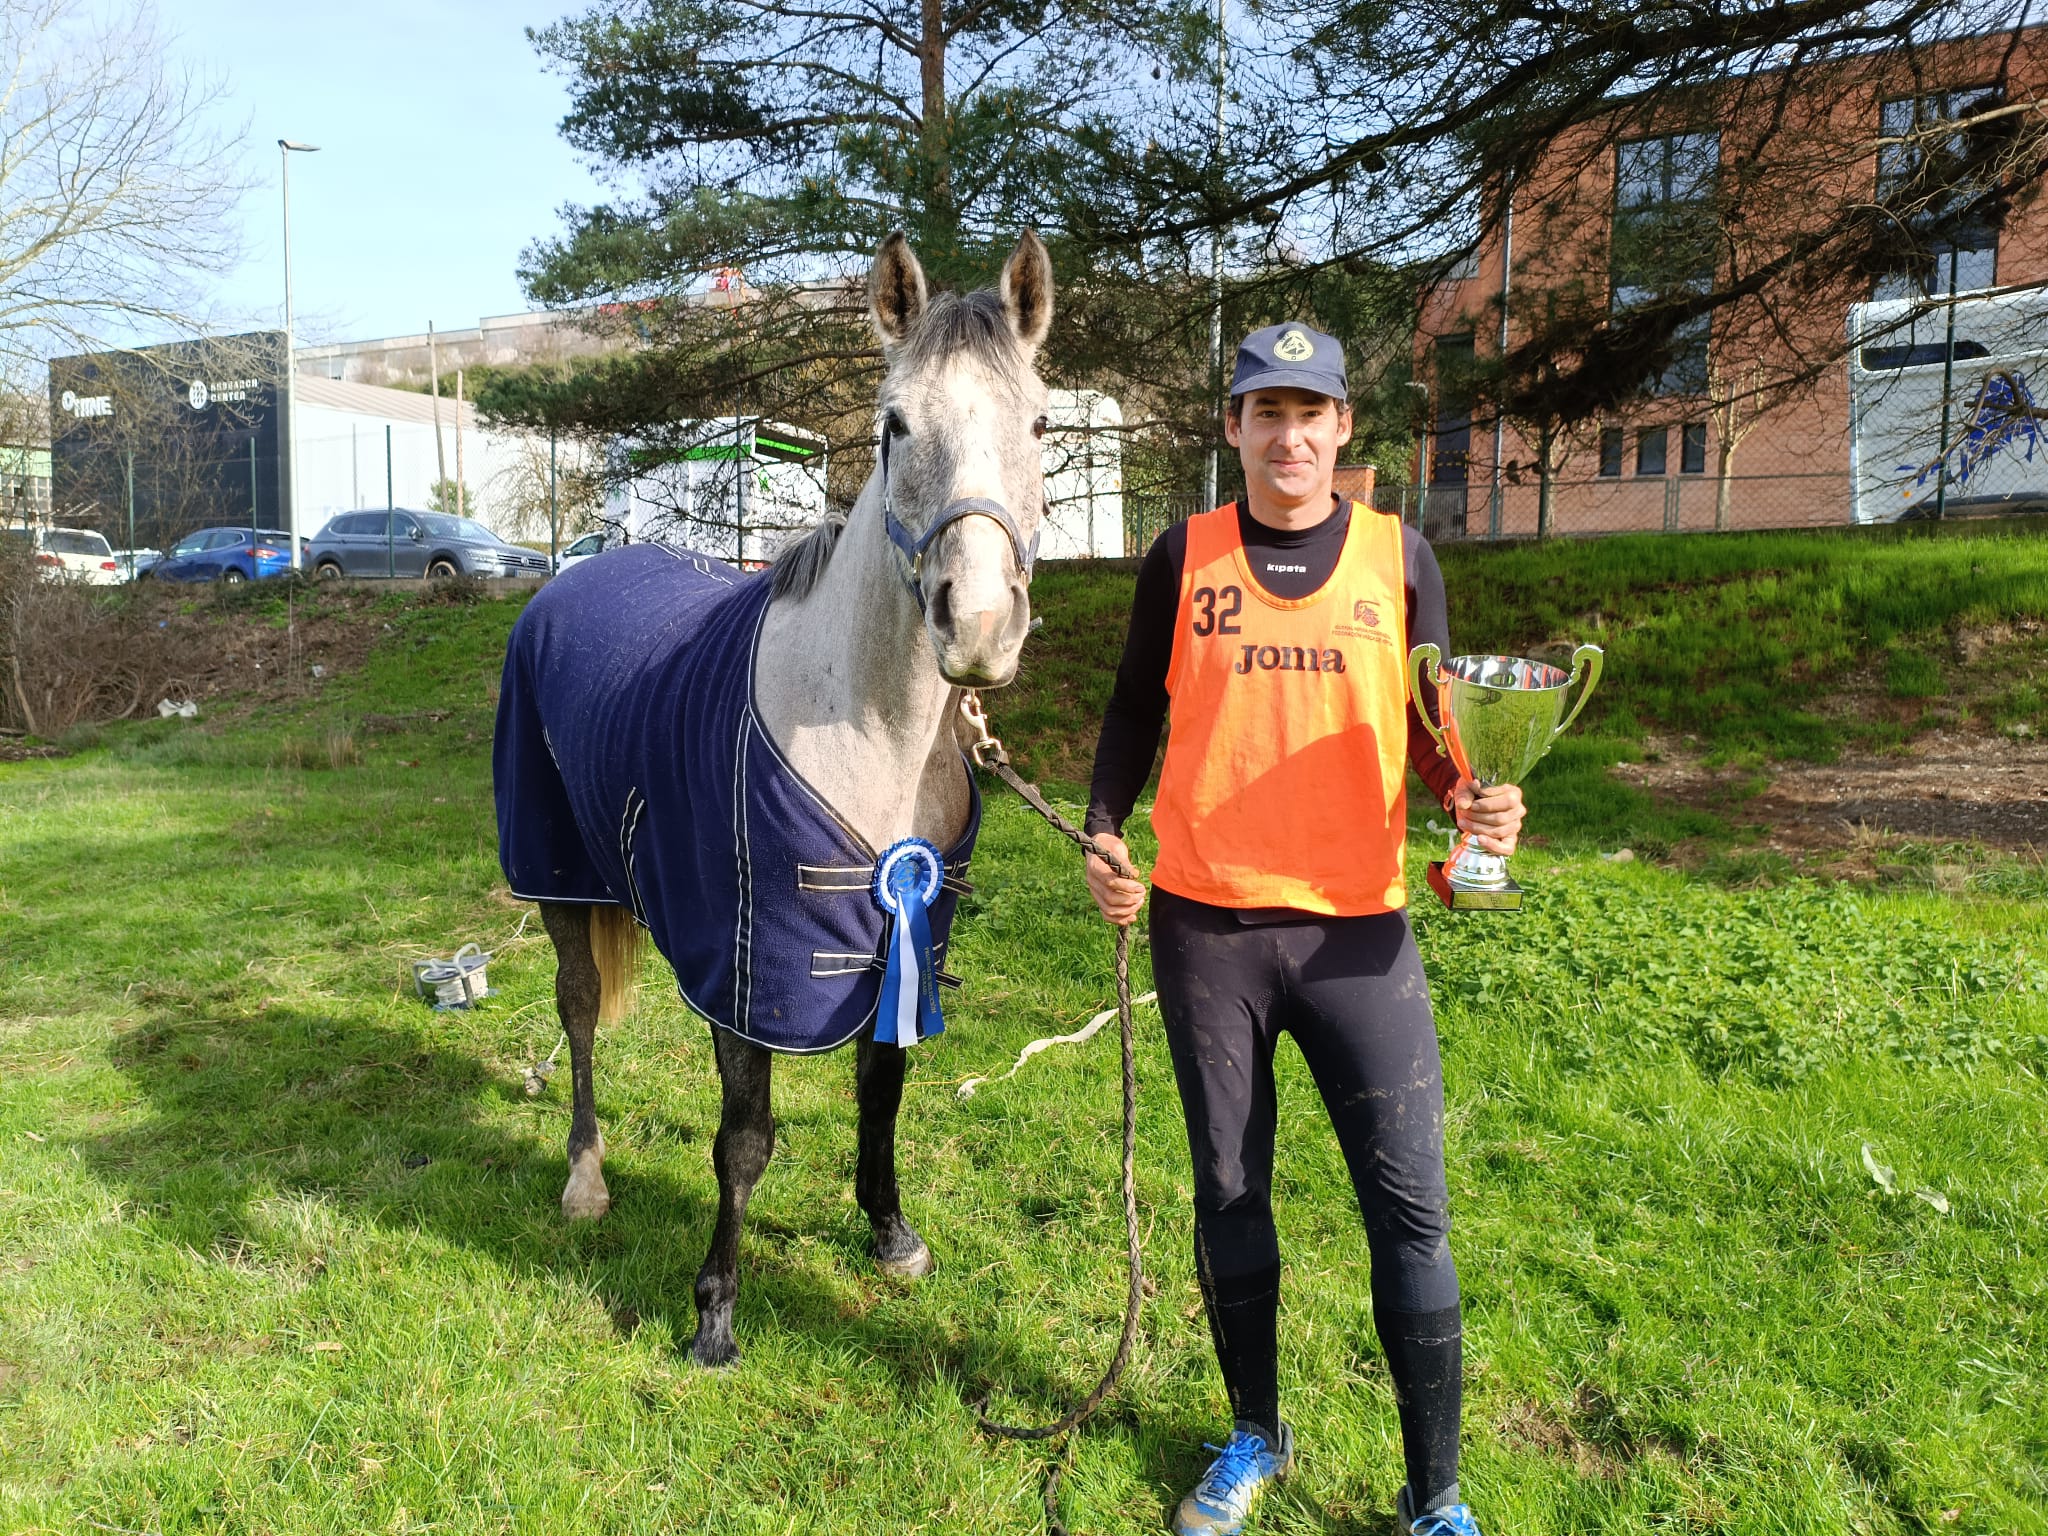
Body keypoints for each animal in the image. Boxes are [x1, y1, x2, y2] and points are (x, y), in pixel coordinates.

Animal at [493, 231, 1053, 1367]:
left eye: (1039, 424)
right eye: (894, 425)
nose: (977, 626)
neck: (866, 733)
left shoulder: (900, 938)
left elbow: (882, 1092)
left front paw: (890, 1234)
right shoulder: (753, 963)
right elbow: (744, 1139)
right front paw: (714, 1310)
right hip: (558, 878)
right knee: (578, 1011)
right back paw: (585, 1178)